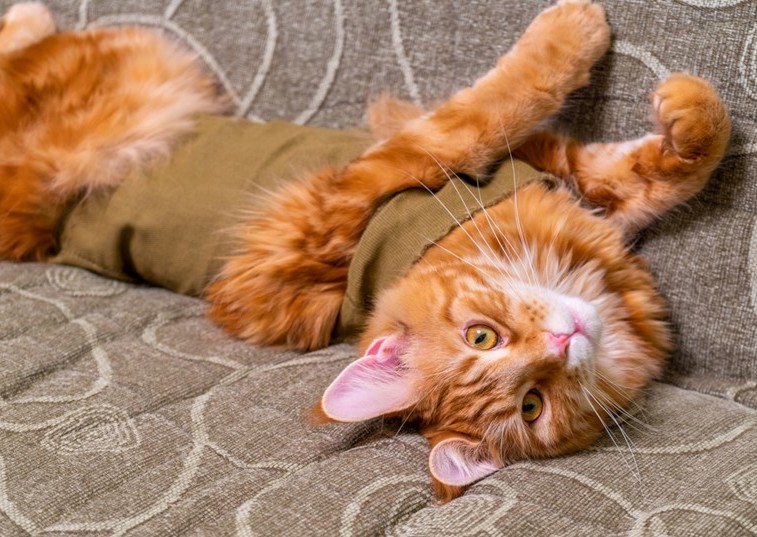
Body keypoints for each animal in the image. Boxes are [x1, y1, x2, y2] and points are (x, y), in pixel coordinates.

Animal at [1, 2, 732, 500]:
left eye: (533, 403)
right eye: (485, 341)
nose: (564, 340)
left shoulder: (572, 183)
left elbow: (670, 164)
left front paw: (689, 107)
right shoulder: (398, 164)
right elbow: (505, 97)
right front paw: (577, 25)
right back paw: (32, 14)